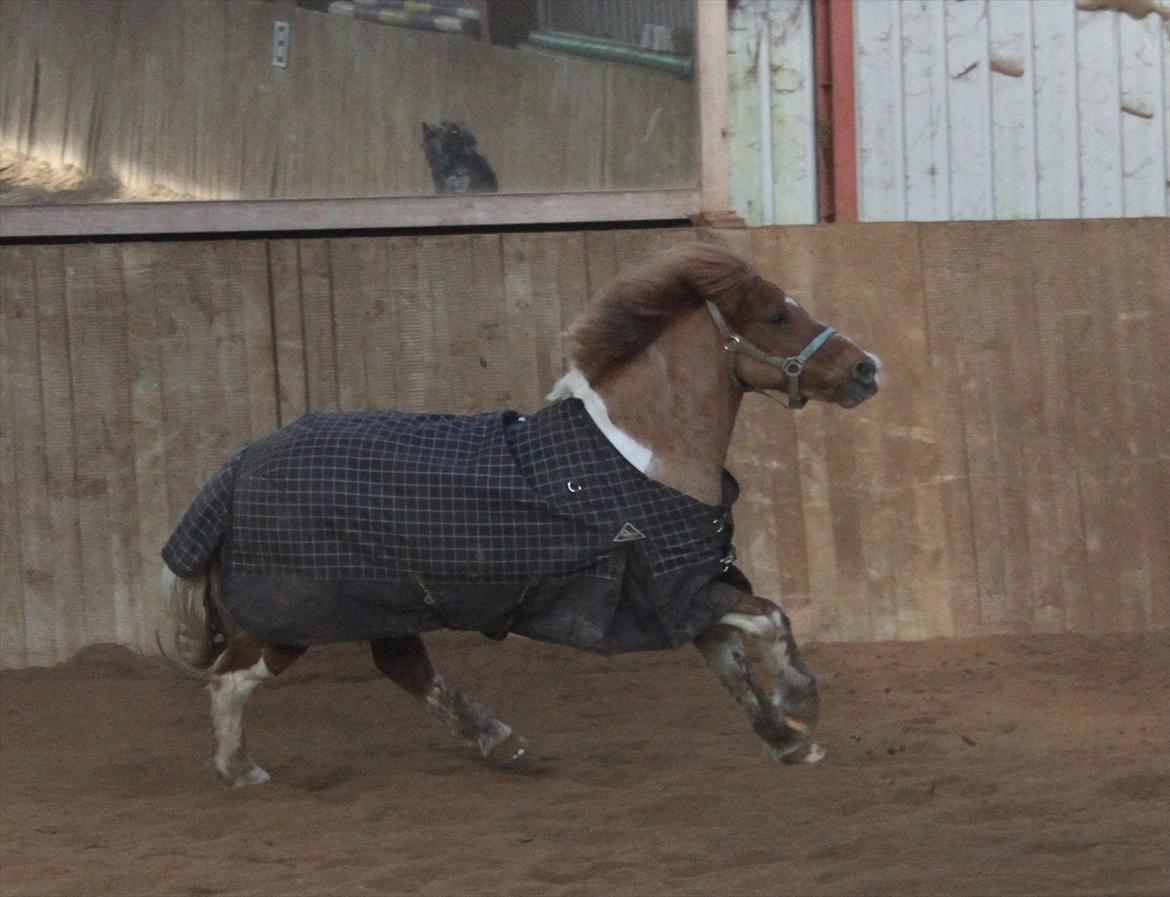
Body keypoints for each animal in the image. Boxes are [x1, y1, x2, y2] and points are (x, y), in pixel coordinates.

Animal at [158, 243, 881, 787]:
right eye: (778, 314)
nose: (866, 368)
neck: (648, 451)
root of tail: (237, 468)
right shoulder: (681, 587)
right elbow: (770, 619)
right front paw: (802, 702)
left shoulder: (693, 587)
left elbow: (735, 663)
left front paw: (790, 742)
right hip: (295, 613)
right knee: (231, 679)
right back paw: (240, 769)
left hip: (390, 601)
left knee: (403, 665)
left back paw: (499, 740)